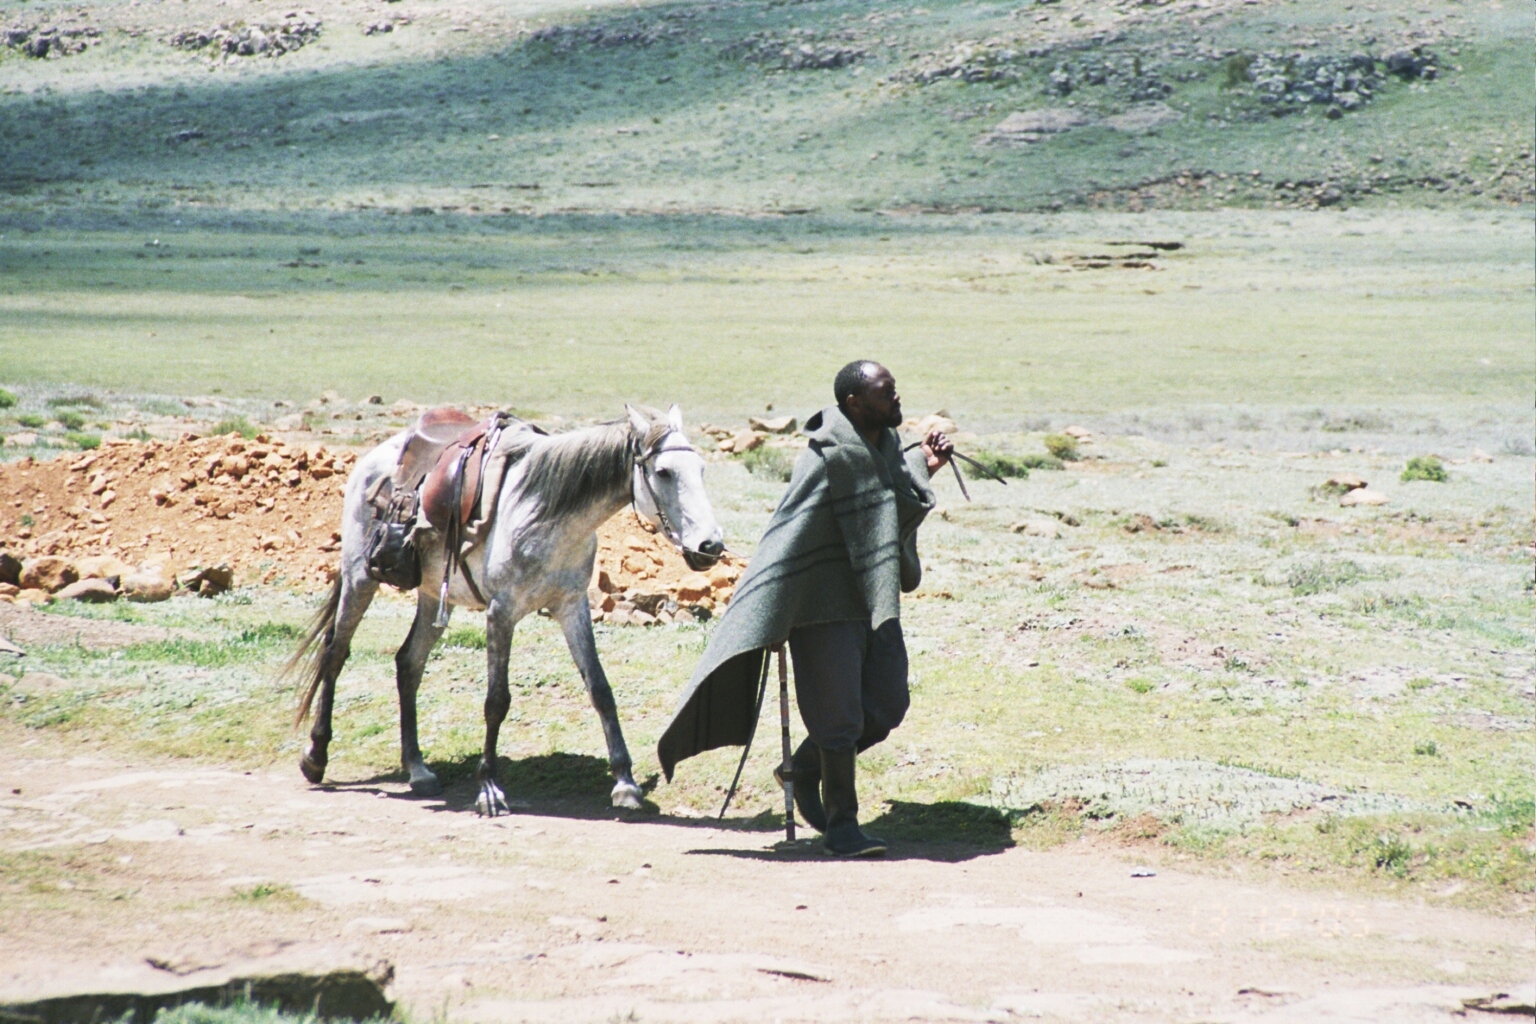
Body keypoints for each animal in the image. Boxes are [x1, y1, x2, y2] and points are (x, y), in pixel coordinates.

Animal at [288, 405, 724, 810]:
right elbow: (496, 700)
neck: (546, 512)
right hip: (361, 578)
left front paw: (625, 783)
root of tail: (374, 457)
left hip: (432, 597)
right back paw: (316, 756)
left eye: (702, 469)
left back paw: (418, 769)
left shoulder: (572, 606)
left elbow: (600, 689)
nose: (711, 546)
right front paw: (489, 788)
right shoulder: (501, 613)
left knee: (408, 664)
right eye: (664, 472)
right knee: (335, 653)